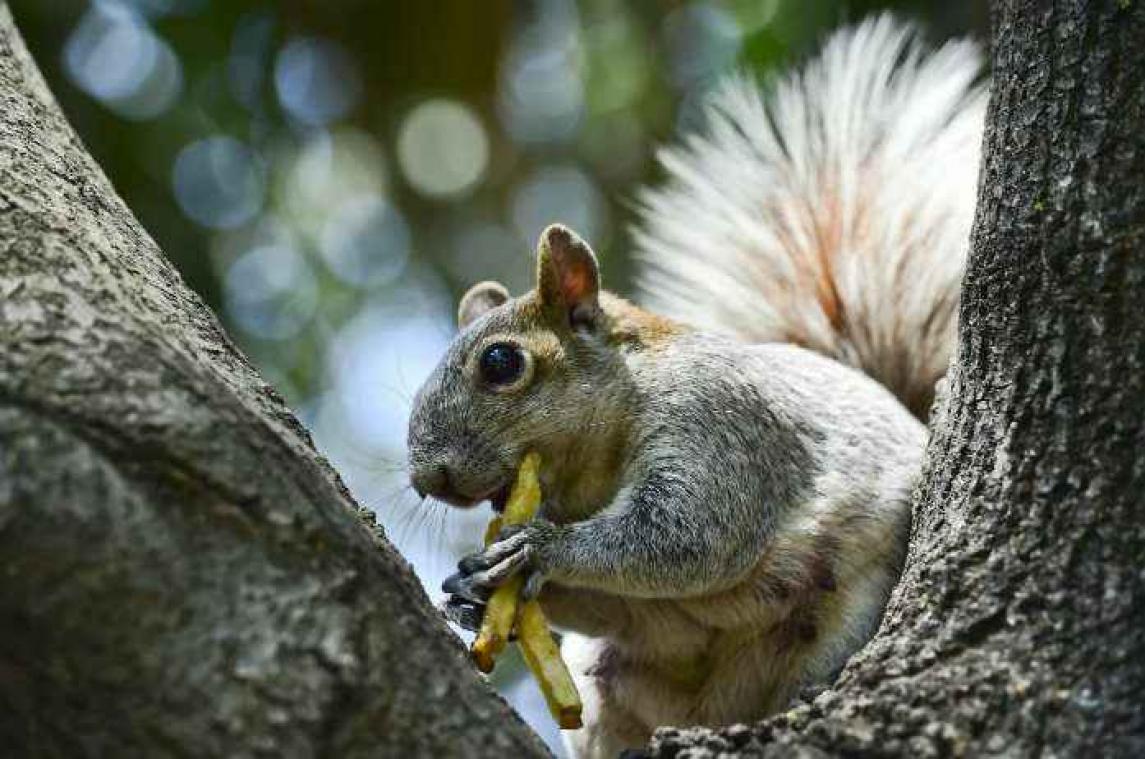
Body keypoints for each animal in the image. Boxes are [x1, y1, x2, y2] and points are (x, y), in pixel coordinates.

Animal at [403, 14, 984, 755]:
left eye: (501, 364)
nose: (426, 477)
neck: (593, 471)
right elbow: (612, 600)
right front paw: (464, 589)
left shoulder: (718, 422)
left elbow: (690, 534)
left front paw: (537, 547)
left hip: (850, 606)